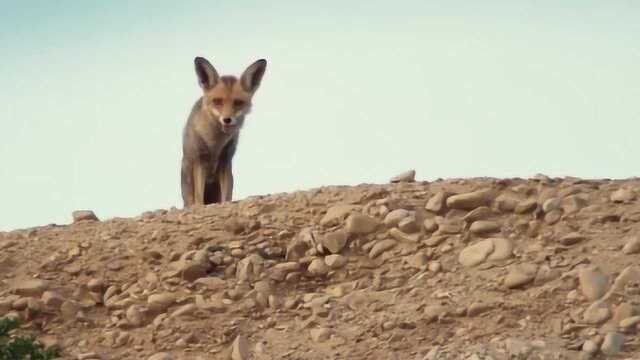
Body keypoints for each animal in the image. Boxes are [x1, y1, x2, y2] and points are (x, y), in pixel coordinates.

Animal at [181, 57, 266, 208]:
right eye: (217, 101)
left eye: (238, 102)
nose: (227, 119)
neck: (215, 144)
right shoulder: (200, 160)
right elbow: (199, 198)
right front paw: (200, 207)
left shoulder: (225, 161)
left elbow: (227, 196)